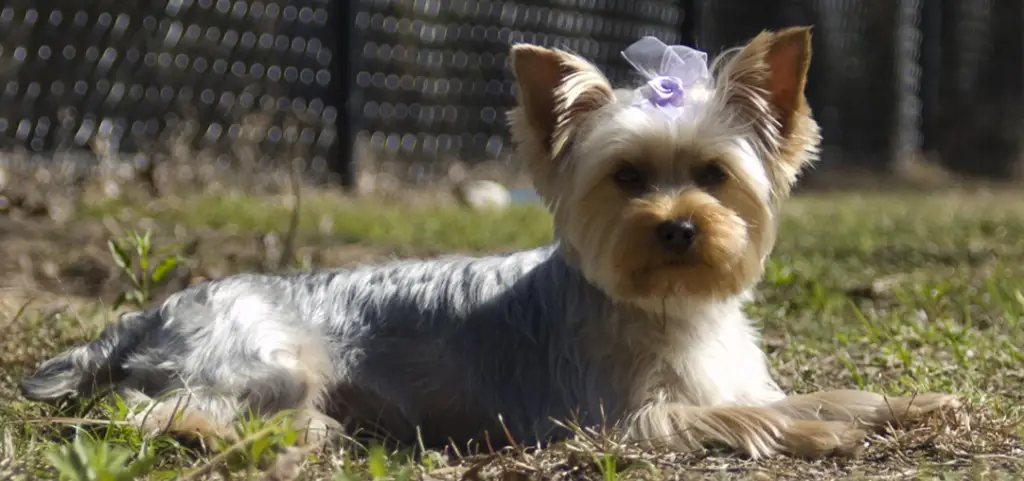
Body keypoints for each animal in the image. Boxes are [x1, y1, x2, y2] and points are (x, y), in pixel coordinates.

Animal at [18, 29, 958, 458]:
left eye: (715, 175)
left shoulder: (724, 373)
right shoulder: (617, 417)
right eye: (626, 178)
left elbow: (829, 392)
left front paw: (908, 405)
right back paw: (279, 434)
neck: (669, 306)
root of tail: (152, 311)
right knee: (149, 408)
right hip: (268, 360)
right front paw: (818, 432)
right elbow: (749, 414)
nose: (678, 225)